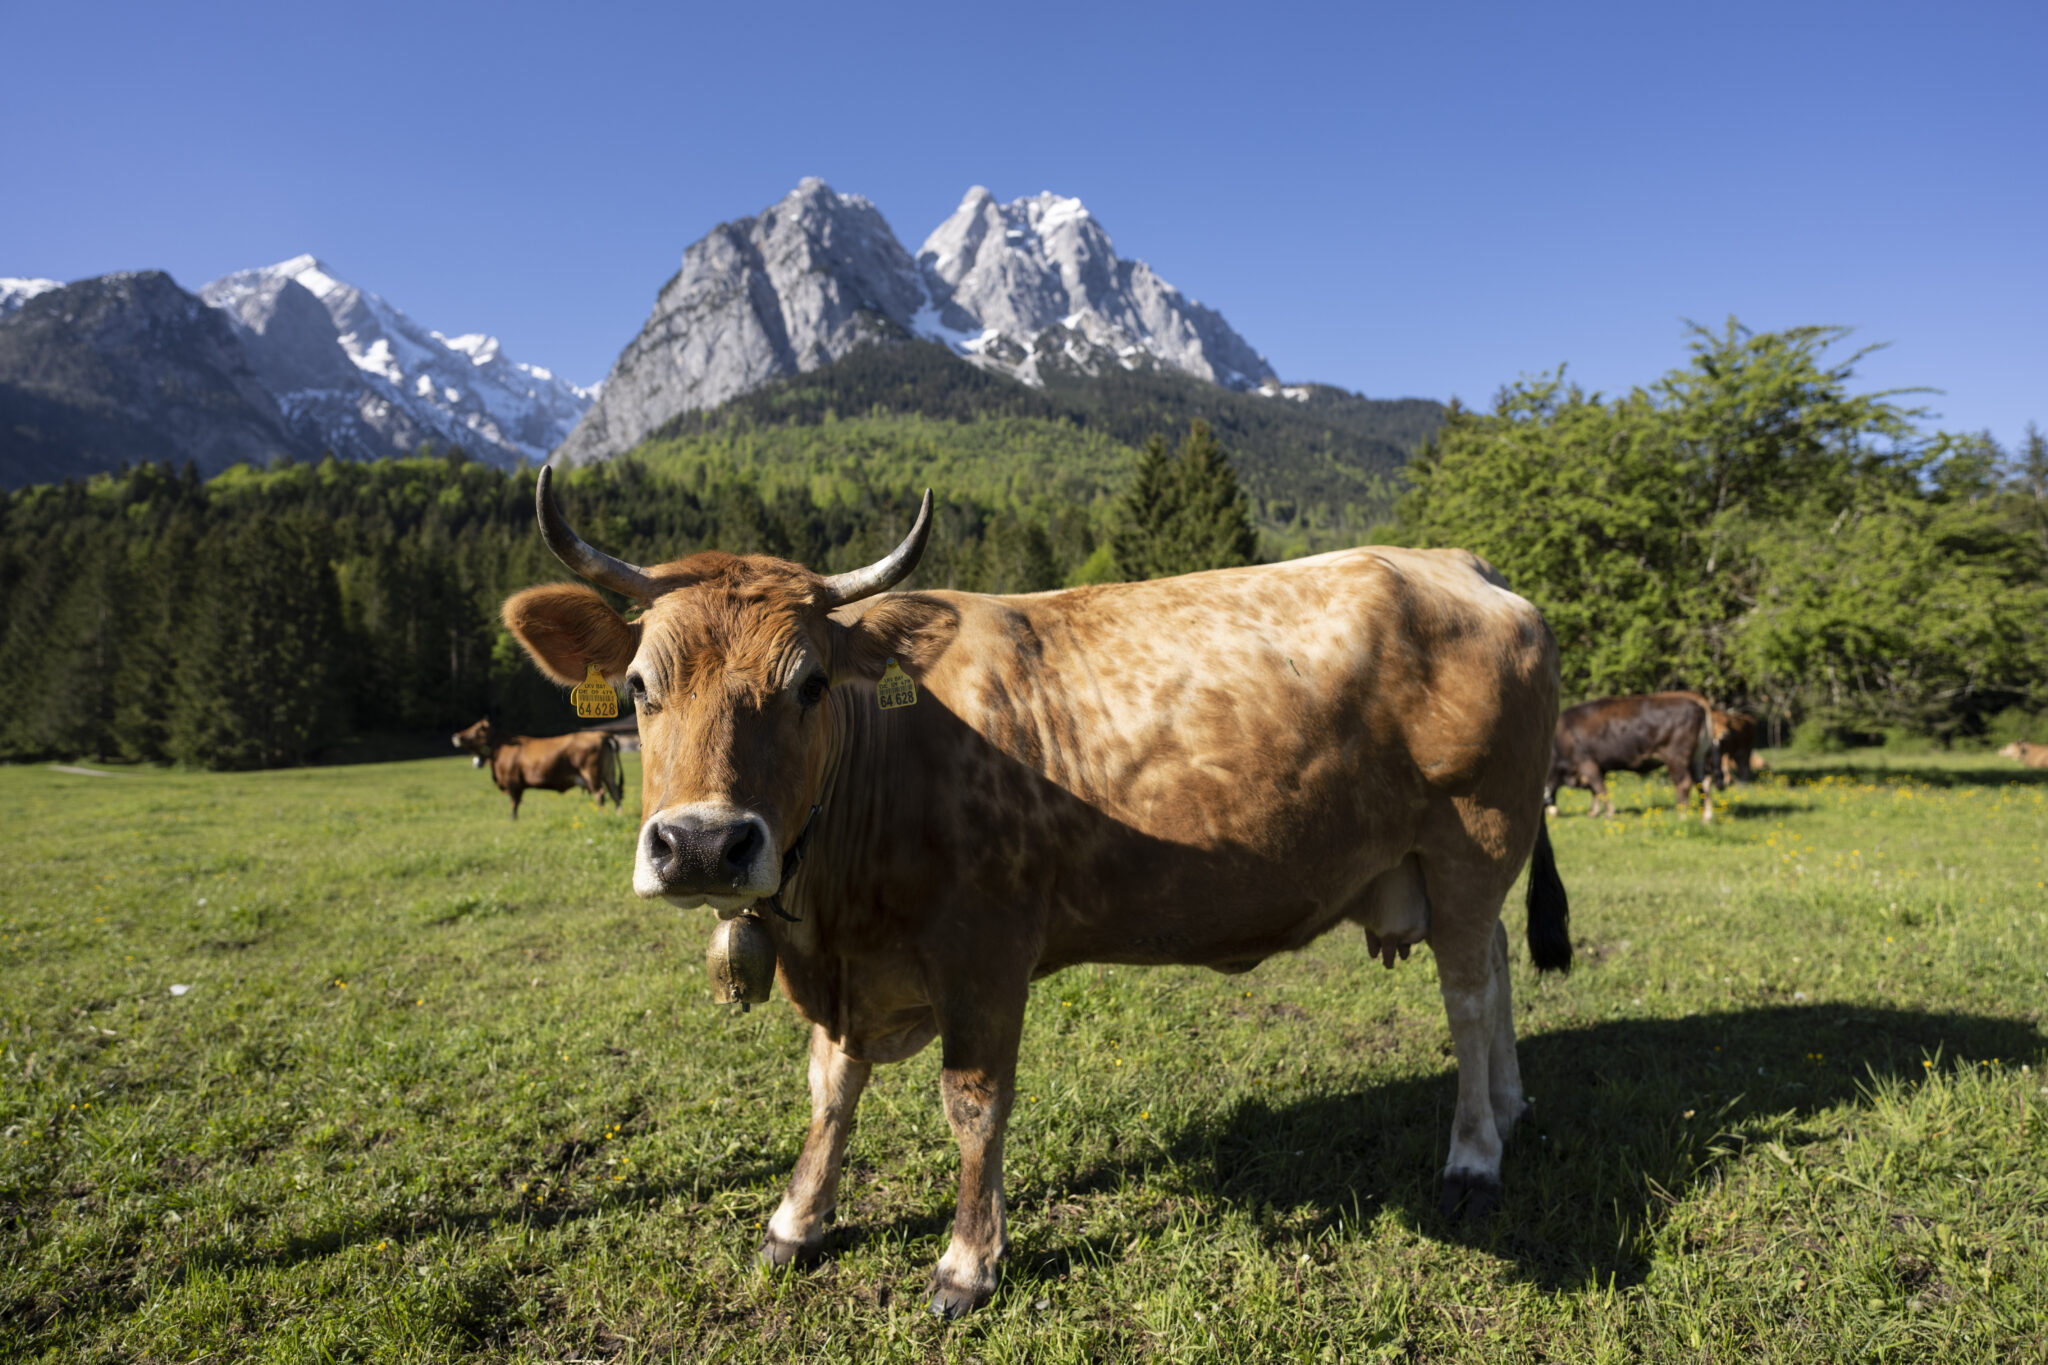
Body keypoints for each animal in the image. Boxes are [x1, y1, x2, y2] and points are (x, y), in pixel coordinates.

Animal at [451, 718, 624, 819]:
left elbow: (514, 803)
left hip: (591, 774)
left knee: (600, 794)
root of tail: (600, 734)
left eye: (475, 730)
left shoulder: (513, 782)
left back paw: (600, 815)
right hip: (608, 774)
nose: (455, 736)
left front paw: (513, 820)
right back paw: (618, 814)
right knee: (615, 793)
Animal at [501, 469, 1571, 1317]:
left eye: (809, 684)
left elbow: (972, 1102)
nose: (703, 845)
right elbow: (830, 1084)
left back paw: (1475, 1154)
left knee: (1468, 992)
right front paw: (797, 1217)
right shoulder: (848, 971)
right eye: (640, 686)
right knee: (1494, 966)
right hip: (1450, 861)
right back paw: (1514, 1104)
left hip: (1472, 835)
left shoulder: (985, 951)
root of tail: (1461, 564)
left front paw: (968, 1262)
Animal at [1545, 692, 1719, 821]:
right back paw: (1706, 817)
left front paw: (1609, 813)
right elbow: (1595, 791)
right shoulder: (1599, 767)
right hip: (1698, 757)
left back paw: (1681, 815)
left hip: (1676, 757)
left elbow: (1600, 788)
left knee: (1684, 783)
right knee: (1703, 782)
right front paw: (1593, 812)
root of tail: (1697, 705)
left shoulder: (1586, 763)